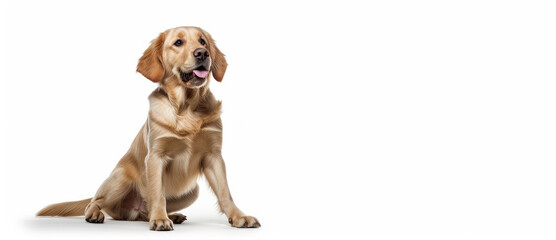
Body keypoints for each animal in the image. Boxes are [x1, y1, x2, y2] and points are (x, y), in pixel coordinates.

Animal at [39, 26, 260, 231]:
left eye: (203, 41)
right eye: (178, 42)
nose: (202, 53)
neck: (187, 107)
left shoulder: (213, 155)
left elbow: (225, 193)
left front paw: (239, 217)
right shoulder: (155, 156)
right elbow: (157, 193)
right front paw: (161, 219)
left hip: (192, 191)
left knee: (142, 213)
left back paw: (170, 216)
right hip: (120, 178)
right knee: (95, 201)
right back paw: (95, 213)